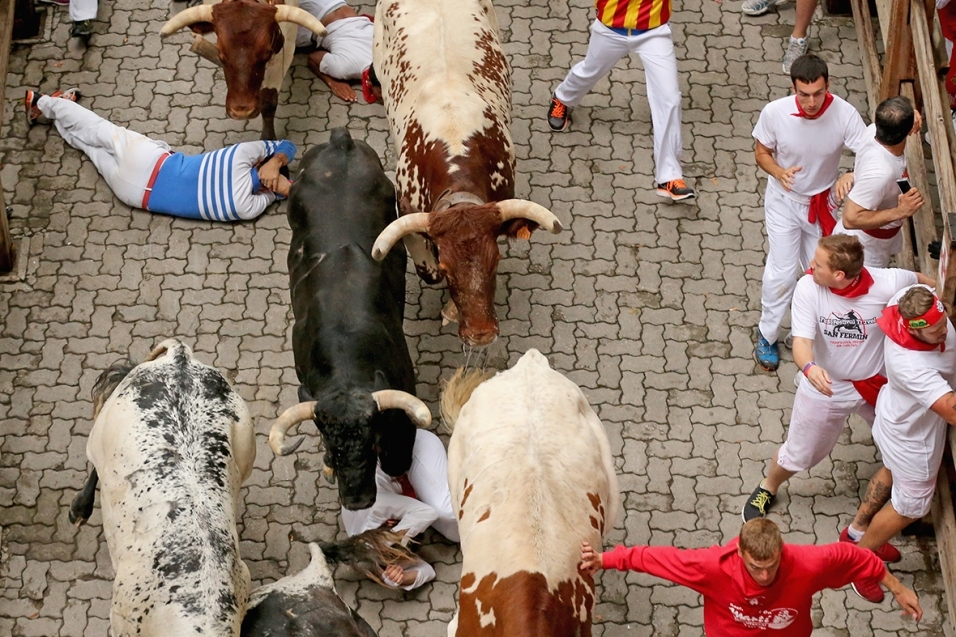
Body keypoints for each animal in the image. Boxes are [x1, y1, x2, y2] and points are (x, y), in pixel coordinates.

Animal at [161, 0, 328, 140]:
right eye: (220, 51)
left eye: (266, 52)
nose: (242, 111)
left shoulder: (284, 51)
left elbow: (268, 101)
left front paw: (268, 140)